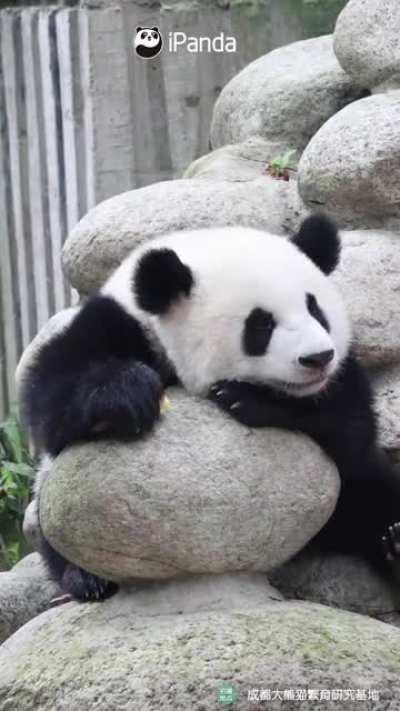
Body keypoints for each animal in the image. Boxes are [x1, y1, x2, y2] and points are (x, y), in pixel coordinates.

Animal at [18, 214, 400, 601]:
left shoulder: (340, 380)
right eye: (261, 324)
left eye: (315, 309)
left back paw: (394, 543)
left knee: (374, 498)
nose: (318, 358)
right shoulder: (117, 322)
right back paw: (86, 577)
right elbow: (51, 401)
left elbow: (351, 425)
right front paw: (128, 392)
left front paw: (247, 398)